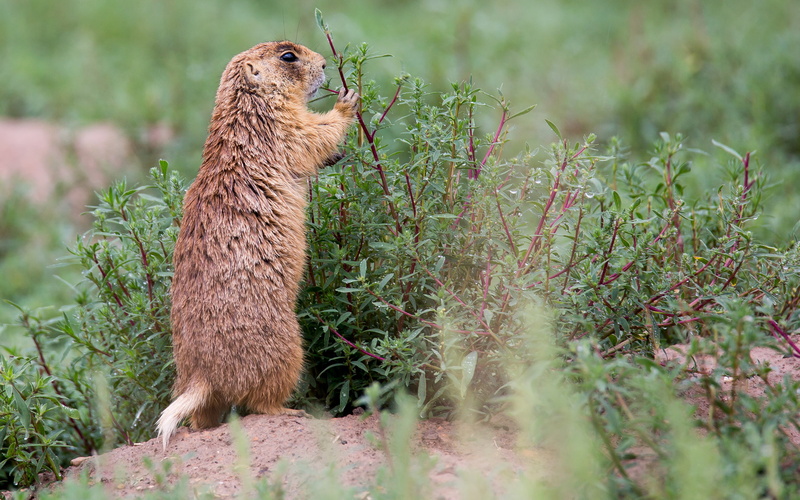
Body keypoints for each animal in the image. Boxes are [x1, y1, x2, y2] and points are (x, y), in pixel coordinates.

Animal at [156, 41, 359, 449]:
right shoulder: (281, 126)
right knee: (259, 403)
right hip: (286, 349)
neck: (245, 105)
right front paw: (346, 101)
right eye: (288, 56)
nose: (325, 64)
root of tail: (201, 376)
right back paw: (290, 411)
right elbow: (312, 134)